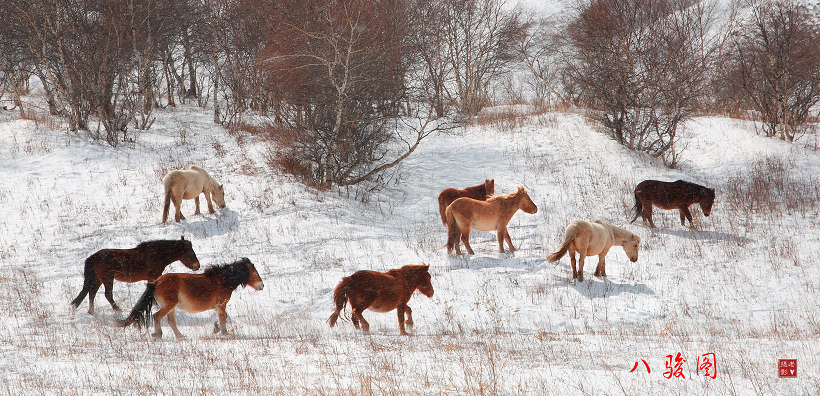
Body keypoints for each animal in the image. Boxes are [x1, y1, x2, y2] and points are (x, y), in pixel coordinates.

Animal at [69, 235, 199, 316]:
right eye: (190, 252)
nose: (197, 266)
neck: (157, 255)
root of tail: (94, 256)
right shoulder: (154, 276)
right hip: (107, 278)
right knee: (107, 294)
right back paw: (117, 309)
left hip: (98, 278)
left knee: (92, 292)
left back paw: (91, 311)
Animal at [117, 258, 264, 338]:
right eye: (254, 272)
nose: (261, 286)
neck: (223, 280)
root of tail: (156, 282)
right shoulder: (221, 305)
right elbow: (223, 319)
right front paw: (224, 333)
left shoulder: (218, 307)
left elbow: (223, 318)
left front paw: (216, 329)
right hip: (169, 305)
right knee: (157, 316)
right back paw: (158, 334)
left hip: (172, 307)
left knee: (171, 322)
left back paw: (180, 336)